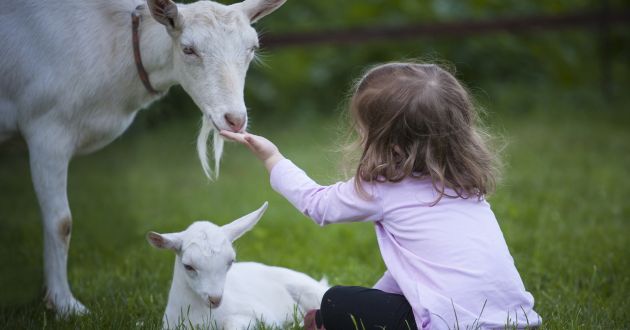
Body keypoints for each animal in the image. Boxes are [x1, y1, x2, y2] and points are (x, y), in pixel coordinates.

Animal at [0, 0, 286, 316]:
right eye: (188, 49)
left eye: (252, 48)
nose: (235, 119)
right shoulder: (47, 127)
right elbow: (61, 222)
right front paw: (65, 305)